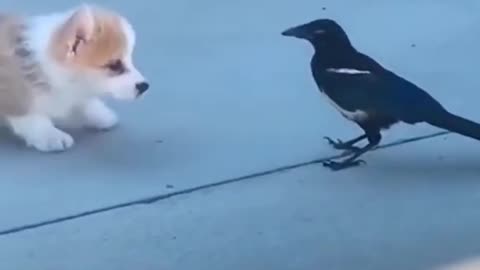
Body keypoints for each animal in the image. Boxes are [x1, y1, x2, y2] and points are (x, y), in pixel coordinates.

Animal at [0, 3, 148, 152]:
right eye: (114, 65)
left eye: (130, 59)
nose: (145, 86)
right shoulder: (14, 94)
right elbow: (32, 118)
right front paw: (50, 135)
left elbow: (84, 103)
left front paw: (100, 114)